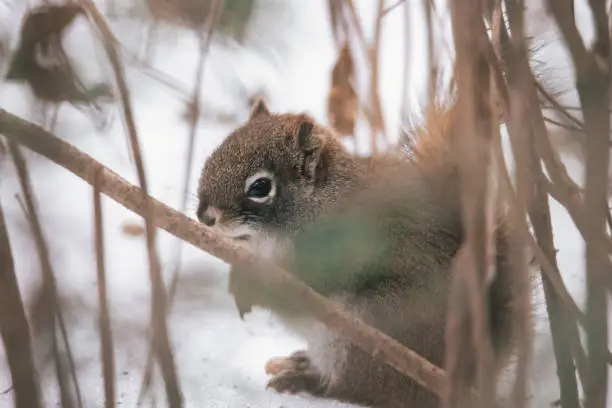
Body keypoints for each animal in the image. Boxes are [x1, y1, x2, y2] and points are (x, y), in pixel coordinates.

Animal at [197, 99, 524, 408]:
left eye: (261, 187)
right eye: (214, 155)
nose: (204, 217)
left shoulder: (336, 255)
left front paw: (250, 283)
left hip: (368, 331)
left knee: (357, 390)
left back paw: (305, 381)